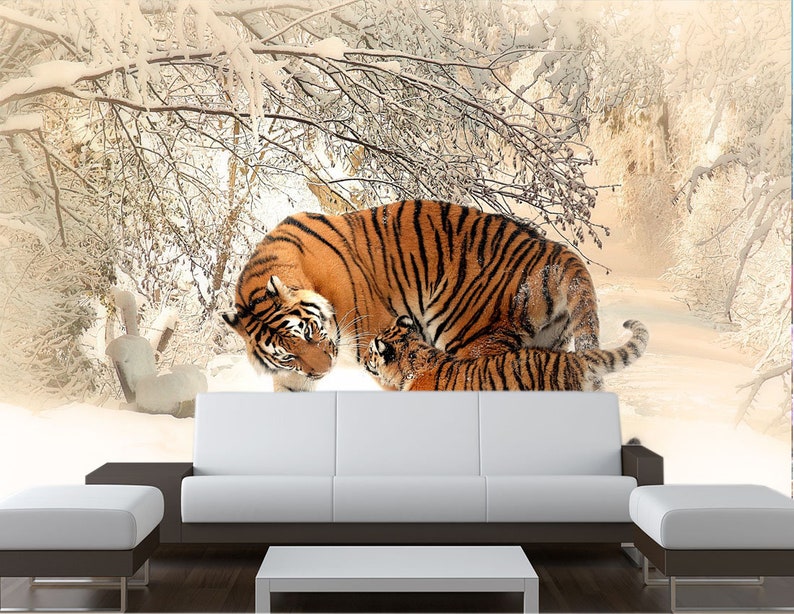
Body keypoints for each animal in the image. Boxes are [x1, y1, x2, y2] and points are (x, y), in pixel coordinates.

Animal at [223, 200, 601, 392]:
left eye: (311, 332)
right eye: (287, 355)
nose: (324, 370)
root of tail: (550, 247)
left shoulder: (377, 343)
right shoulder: (293, 377)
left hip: (473, 339)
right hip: (547, 346)